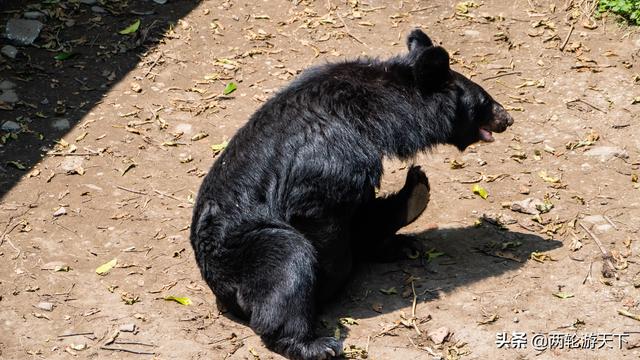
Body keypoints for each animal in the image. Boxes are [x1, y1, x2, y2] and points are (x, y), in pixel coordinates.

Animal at [190, 28, 516, 360]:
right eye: (484, 102)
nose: (507, 118)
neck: (378, 115)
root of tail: (217, 285)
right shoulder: (330, 156)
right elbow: (324, 215)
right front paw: (328, 285)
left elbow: (363, 209)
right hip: (248, 248)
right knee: (285, 264)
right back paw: (316, 344)